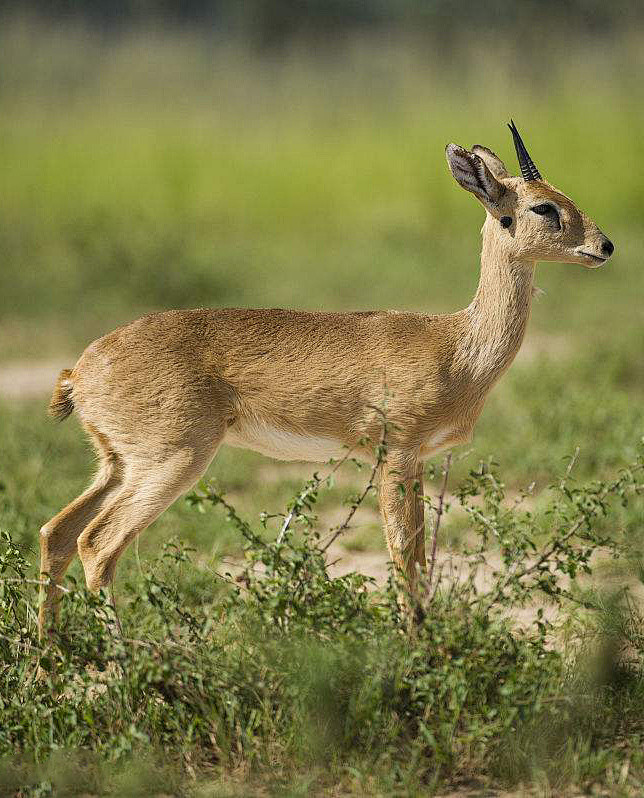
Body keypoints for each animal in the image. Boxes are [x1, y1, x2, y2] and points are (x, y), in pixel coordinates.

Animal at [39, 123, 612, 636]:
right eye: (543, 207)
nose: (604, 246)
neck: (457, 346)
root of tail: (81, 370)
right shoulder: (395, 455)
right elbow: (401, 554)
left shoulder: (419, 463)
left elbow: (419, 554)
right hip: (171, 461)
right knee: (97, 544)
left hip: (117, 465)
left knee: (57, 533)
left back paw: (50, 661)